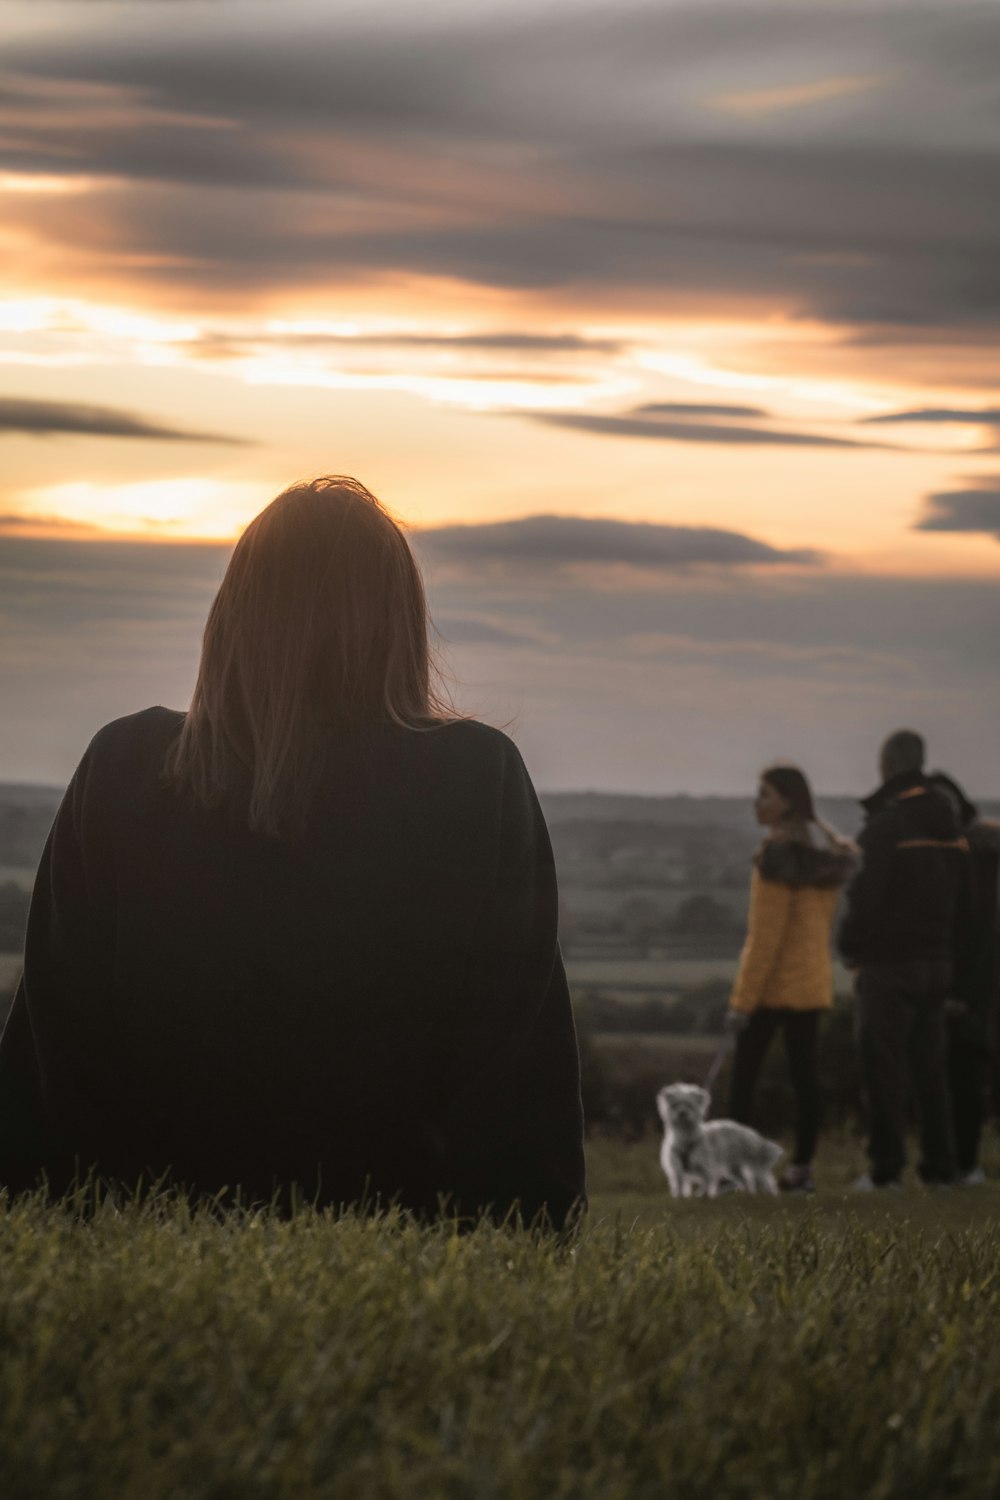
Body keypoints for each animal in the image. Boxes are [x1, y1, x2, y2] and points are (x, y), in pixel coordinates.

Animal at [653, 1086, 785, 1200]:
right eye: (675, 1105)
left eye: (690, 1105)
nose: (682, 1113)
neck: (685, 1136)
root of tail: (749, 1133)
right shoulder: (677, 1169)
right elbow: (679, 1183)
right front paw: (679, 1198)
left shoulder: (706, 1167)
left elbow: (706, 1181)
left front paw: (701, 1195)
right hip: (734, 1167)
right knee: (746, 1180)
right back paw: (748, 1195)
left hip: (755, 1164)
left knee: (765, 1180)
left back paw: (770, 1196)